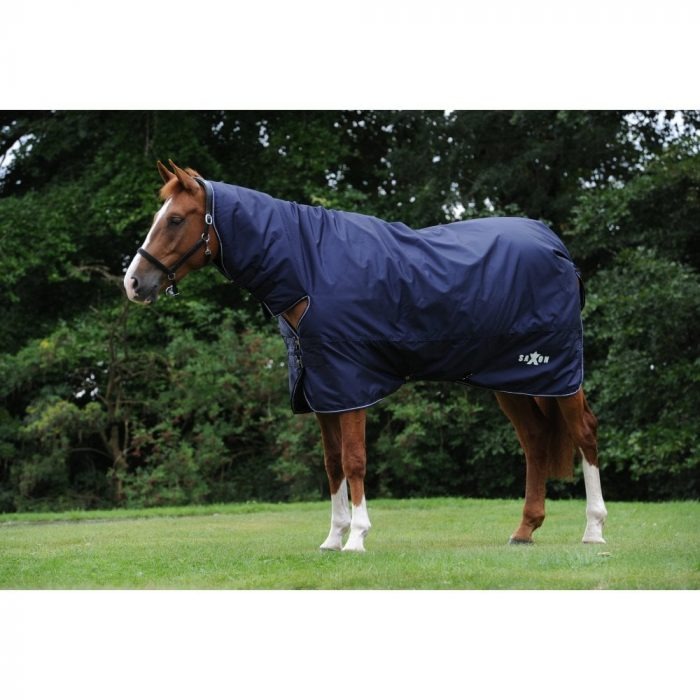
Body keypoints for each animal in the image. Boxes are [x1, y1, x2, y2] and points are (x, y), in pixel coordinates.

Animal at [123, 160, 608, 552]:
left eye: (176, 219)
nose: (133, 283)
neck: (309, 269)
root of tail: (556, 245)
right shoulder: (320, 390)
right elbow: (332, 463)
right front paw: (332, 538)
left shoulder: (349, 383)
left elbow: (354, 460)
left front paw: (357, 537)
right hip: (511, 380)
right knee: (535, 442)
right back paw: (524, 530)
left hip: (558, 373)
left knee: (584, 433)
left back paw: (594, 530)